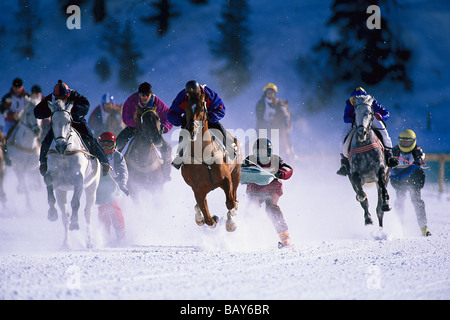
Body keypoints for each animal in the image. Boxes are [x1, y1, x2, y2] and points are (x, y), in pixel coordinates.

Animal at [44, 99, 100, 248]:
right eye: (52, 122)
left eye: (69, 121)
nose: (60, 145)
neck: (65, 155)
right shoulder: (55, 181)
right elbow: (48, 183)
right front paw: (51, 213)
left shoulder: (78, 181)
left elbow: (75, 202)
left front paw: (75, 223)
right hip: (62, 191)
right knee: (65, 216)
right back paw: (66, 243)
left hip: (92, 187)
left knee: (87, 213)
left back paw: (89, 241)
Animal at [180, 95, 241, 232]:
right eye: (186, 109)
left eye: (202, 109)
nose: (192, 130)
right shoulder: (198, 190)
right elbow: (208, 219)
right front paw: (207, 218)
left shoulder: (226, 179)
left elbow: (231, 203)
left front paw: (231, 220)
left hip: (236, 173)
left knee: (234, 195)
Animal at [348, 96, 390, 231]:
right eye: (355, 113)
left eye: (370, 113)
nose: (361, 132)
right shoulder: (354, 175)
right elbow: (361, 195)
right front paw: (368, 218)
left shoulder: (381, 170)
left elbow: (382, 186)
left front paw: (386, 203)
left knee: (379, 209)